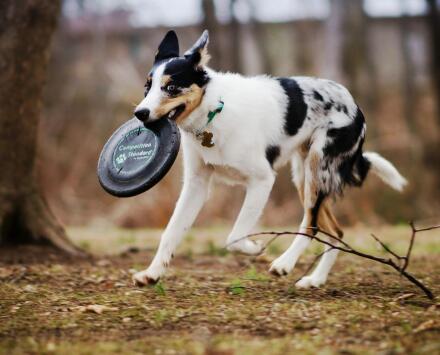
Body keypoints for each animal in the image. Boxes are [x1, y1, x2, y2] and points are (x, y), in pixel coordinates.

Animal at [131, 30, 406, 290]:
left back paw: (285, 263)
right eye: (147, 87)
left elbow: (234, 237)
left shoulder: (262, 181)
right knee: (334, 231)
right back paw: (315, 279)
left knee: (312, 225)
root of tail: (356, 107)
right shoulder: (195, 186)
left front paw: (254, 248)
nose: (140, 113)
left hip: (317, 170)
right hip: (304, 176)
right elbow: (170, 232)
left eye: (171, 88)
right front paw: (152, 273)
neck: (213, 111)